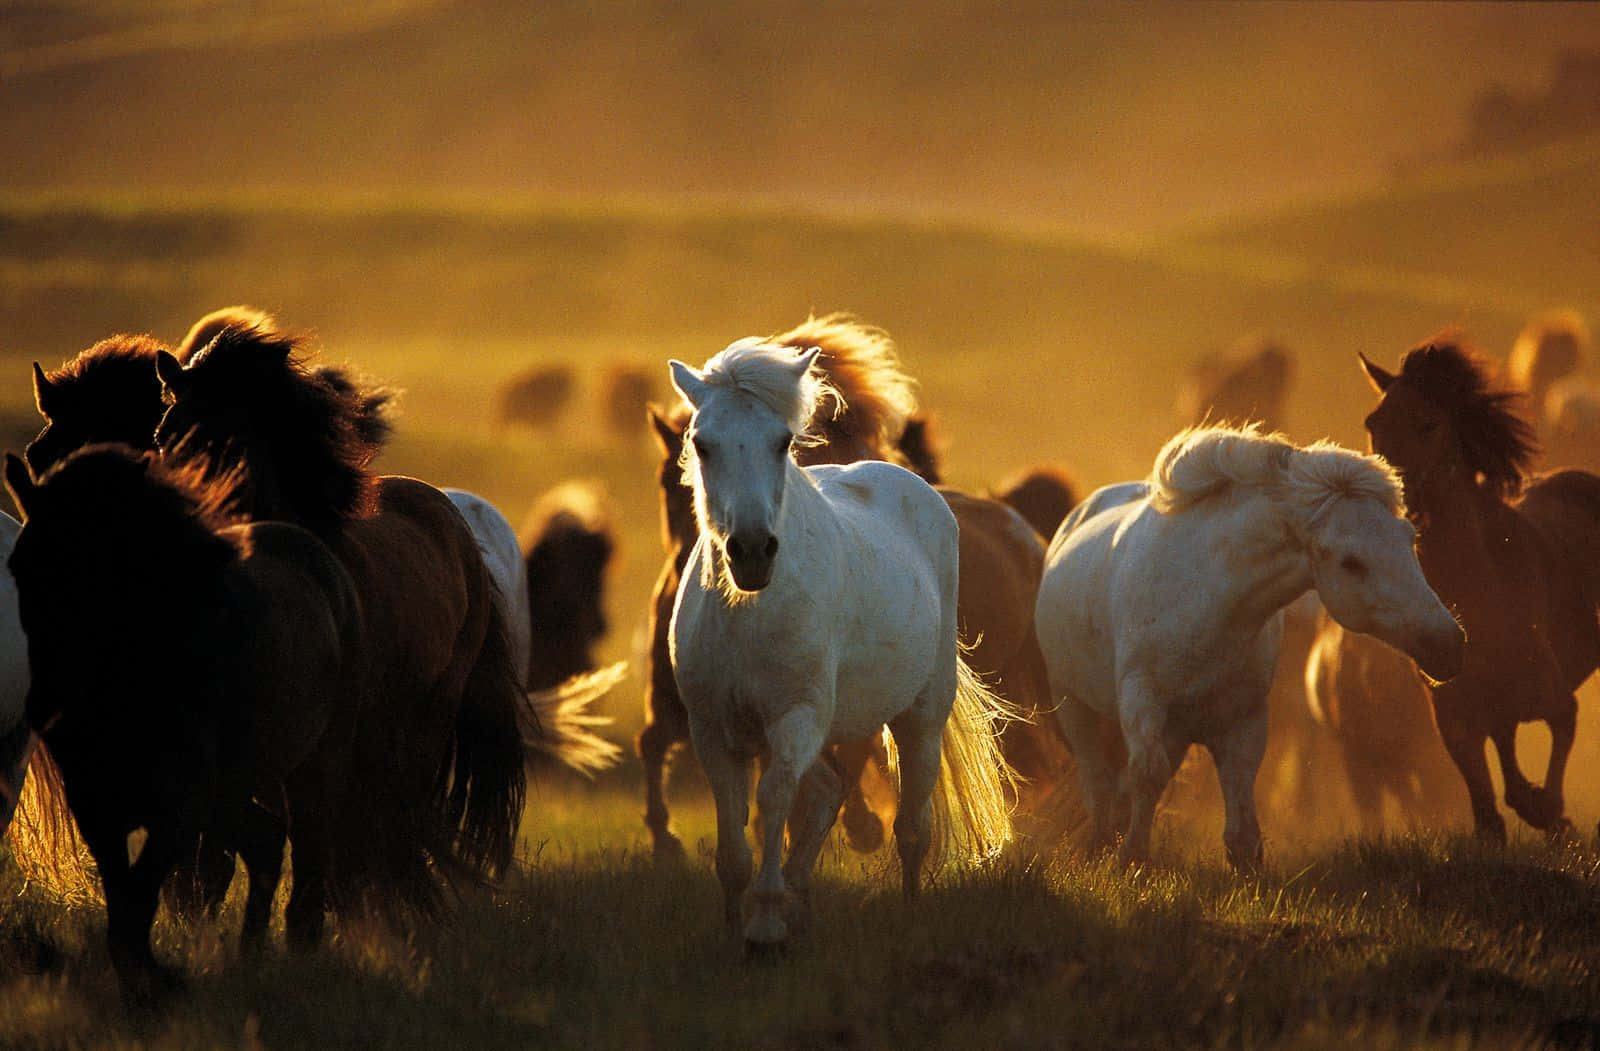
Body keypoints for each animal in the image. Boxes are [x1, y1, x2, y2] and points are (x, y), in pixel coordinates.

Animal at [3, 445, 375, 1004]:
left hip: (311, 766)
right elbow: (123, 904)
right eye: (20, 567)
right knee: (266, 840)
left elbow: (139, 899)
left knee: (307, 855)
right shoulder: (97, 806)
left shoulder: (179, 805)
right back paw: (249, 955)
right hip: (235, 788)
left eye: (100, 566)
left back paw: (299, 954)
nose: (47, 706)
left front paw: (155, 988)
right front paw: (146, 986)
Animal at [667, 339, 1015, 947]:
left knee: (911, 827)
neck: (747, 616)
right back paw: (801, 903)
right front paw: (739, 923)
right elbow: (735, 839)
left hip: (920, 718)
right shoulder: (713, 730)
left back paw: (907, 910)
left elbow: (775, 799)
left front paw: (765, 925)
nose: (752, 551)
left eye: (782, 442)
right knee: (830, 792)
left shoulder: (795, 718)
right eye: (701, 444)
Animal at [1035, 425, 1464, 869]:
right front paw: (1131, 857)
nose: (1448, 643)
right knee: (1095, 777)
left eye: (1409, 537)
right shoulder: (1143, 700)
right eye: (1351, 561)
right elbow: (1147, 774)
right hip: (1073, 705)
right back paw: (1102, 838)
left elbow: (1239, 801)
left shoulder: (1244, 717)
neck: (1209, 599)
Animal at [1360, 334, 1600, 841]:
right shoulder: (1454, 716)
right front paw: (1533, 809)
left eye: (1429, 423)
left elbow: (1562, 729)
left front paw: (1553, 813)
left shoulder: (1553, 696)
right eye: (1374, 423)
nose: (1386, 498)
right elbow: (1489, 810)